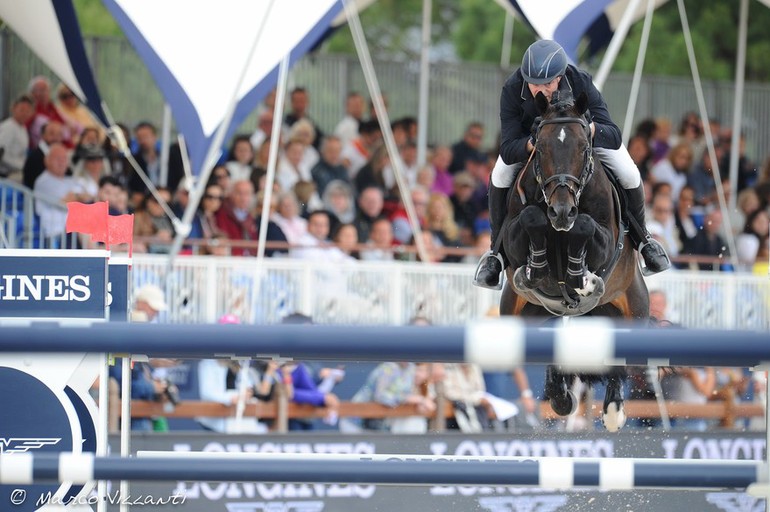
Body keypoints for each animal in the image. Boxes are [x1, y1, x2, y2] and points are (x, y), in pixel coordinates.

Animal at [498, 90, 648, 430]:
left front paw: (583, 279)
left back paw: (614, 411)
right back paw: (561, 398)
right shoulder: (515, 235)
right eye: (540, 148)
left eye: (583, 147)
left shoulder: (605, 239)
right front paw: (536, 269)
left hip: (633, 306)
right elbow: (531, 217)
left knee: (619, 358)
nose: (562, 212)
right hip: (522, 315)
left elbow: (585, 225)